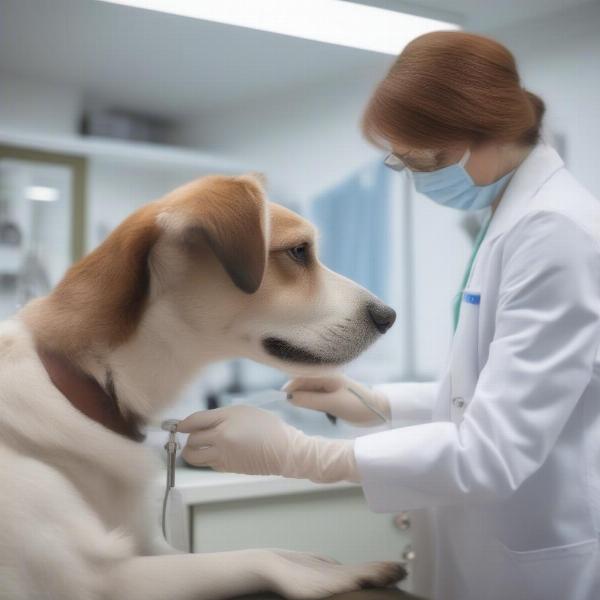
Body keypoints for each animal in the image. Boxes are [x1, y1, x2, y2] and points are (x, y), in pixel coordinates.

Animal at [2, 173, 404, 600]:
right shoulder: (98, 578)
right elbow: (260, 556)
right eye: (298, 251)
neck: (84, 385)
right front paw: (326, 573)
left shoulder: (152, 545)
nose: (389, 316)